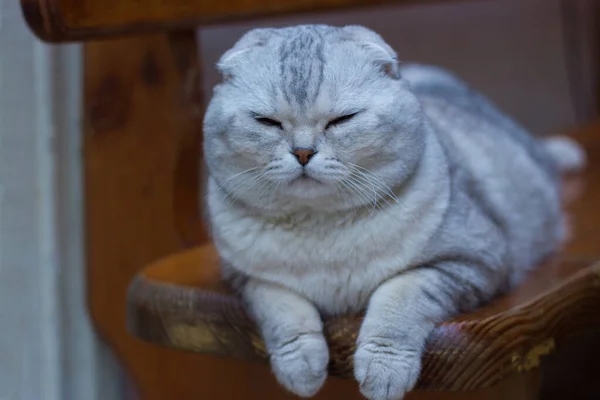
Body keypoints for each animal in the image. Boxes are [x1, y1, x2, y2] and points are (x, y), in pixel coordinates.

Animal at [202, 25, 580, 400]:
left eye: (342, 120)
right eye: (267, 122)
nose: (303, 153)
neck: (321, 231)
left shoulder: (472, 260)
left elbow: (400, 295)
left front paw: (383, 372)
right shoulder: (246, 279)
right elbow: (282, 310)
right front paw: (301, 369)